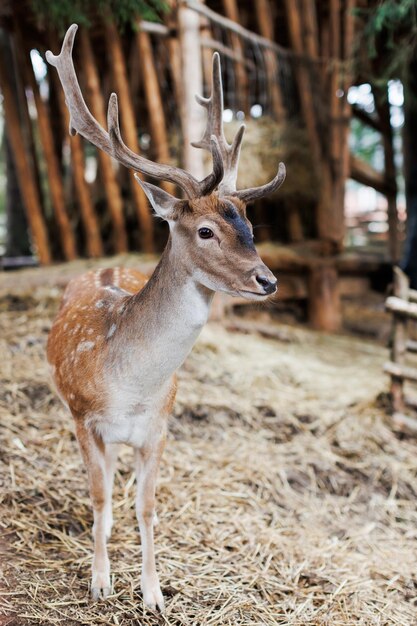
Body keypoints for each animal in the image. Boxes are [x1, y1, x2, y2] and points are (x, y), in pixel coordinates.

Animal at [46, 24, 286, 608]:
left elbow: (147, 507)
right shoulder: (85, 418)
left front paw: (153, 593)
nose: (267, 281)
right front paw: (100, 583)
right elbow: (100, 500)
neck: (132, 387)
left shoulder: (159, 428)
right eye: (205, 230)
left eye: (249, 225)